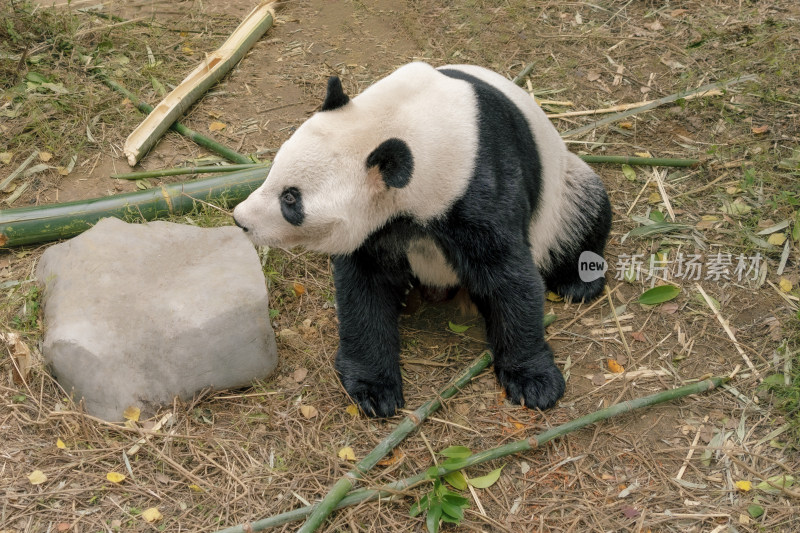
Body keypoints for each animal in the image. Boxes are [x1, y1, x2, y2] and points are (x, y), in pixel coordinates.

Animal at [234, 62, 608, 418]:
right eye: (272, 172)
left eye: (291, 199)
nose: (241, 220)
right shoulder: (377, 227)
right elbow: (364, 288)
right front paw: (374, 390)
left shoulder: (481, 183)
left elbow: (509, 277)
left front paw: (535, 382)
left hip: (561, 192)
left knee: (585, 211)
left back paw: (578, 283)